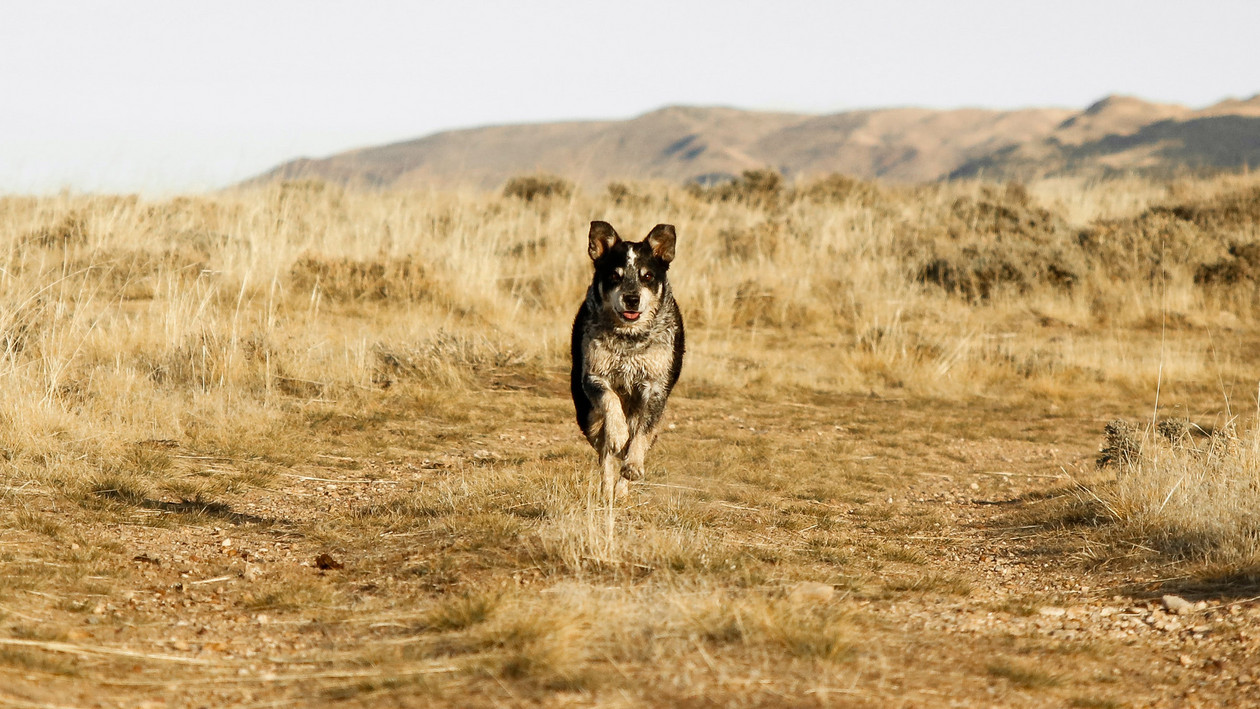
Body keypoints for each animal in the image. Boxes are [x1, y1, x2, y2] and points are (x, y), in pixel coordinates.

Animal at [572, 219, 685, 501]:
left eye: (647, 276)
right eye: (615, 275)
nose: (632, 298)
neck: (629, 339)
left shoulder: (656, 388)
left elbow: (641, 435)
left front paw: (633, 465)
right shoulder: (594, 375)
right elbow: (610, 401)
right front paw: (618, 433)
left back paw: (622, 488)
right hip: (587, 416)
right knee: (604, 451)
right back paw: (608, 488)